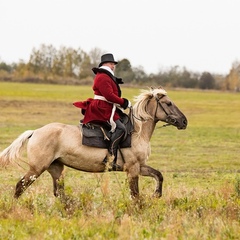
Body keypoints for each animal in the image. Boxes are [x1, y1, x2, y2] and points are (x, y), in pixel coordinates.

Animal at [0, 87, 188, 200]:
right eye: (169, 103)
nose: (184, 121)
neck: (137, 132)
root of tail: (35, 132)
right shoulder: (133, 168)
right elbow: (135, 194)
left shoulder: (139, 166)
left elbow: (158, 175)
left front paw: (156, 194)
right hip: (37, 168)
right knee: (20, 186)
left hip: (56, 168)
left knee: (59, 193)